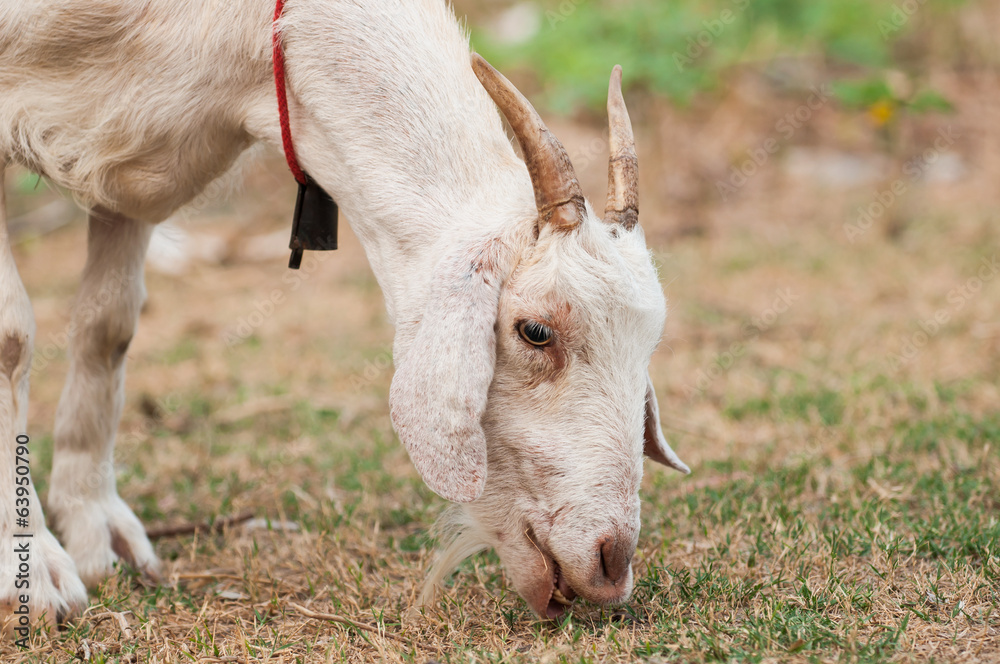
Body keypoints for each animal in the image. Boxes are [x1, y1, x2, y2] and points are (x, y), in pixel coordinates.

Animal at [0, 0, 688, 626]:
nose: (611, 563)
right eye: (535, 331)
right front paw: (31, 569)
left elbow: (107, 327)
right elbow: (13, 338)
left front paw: (97, 530)